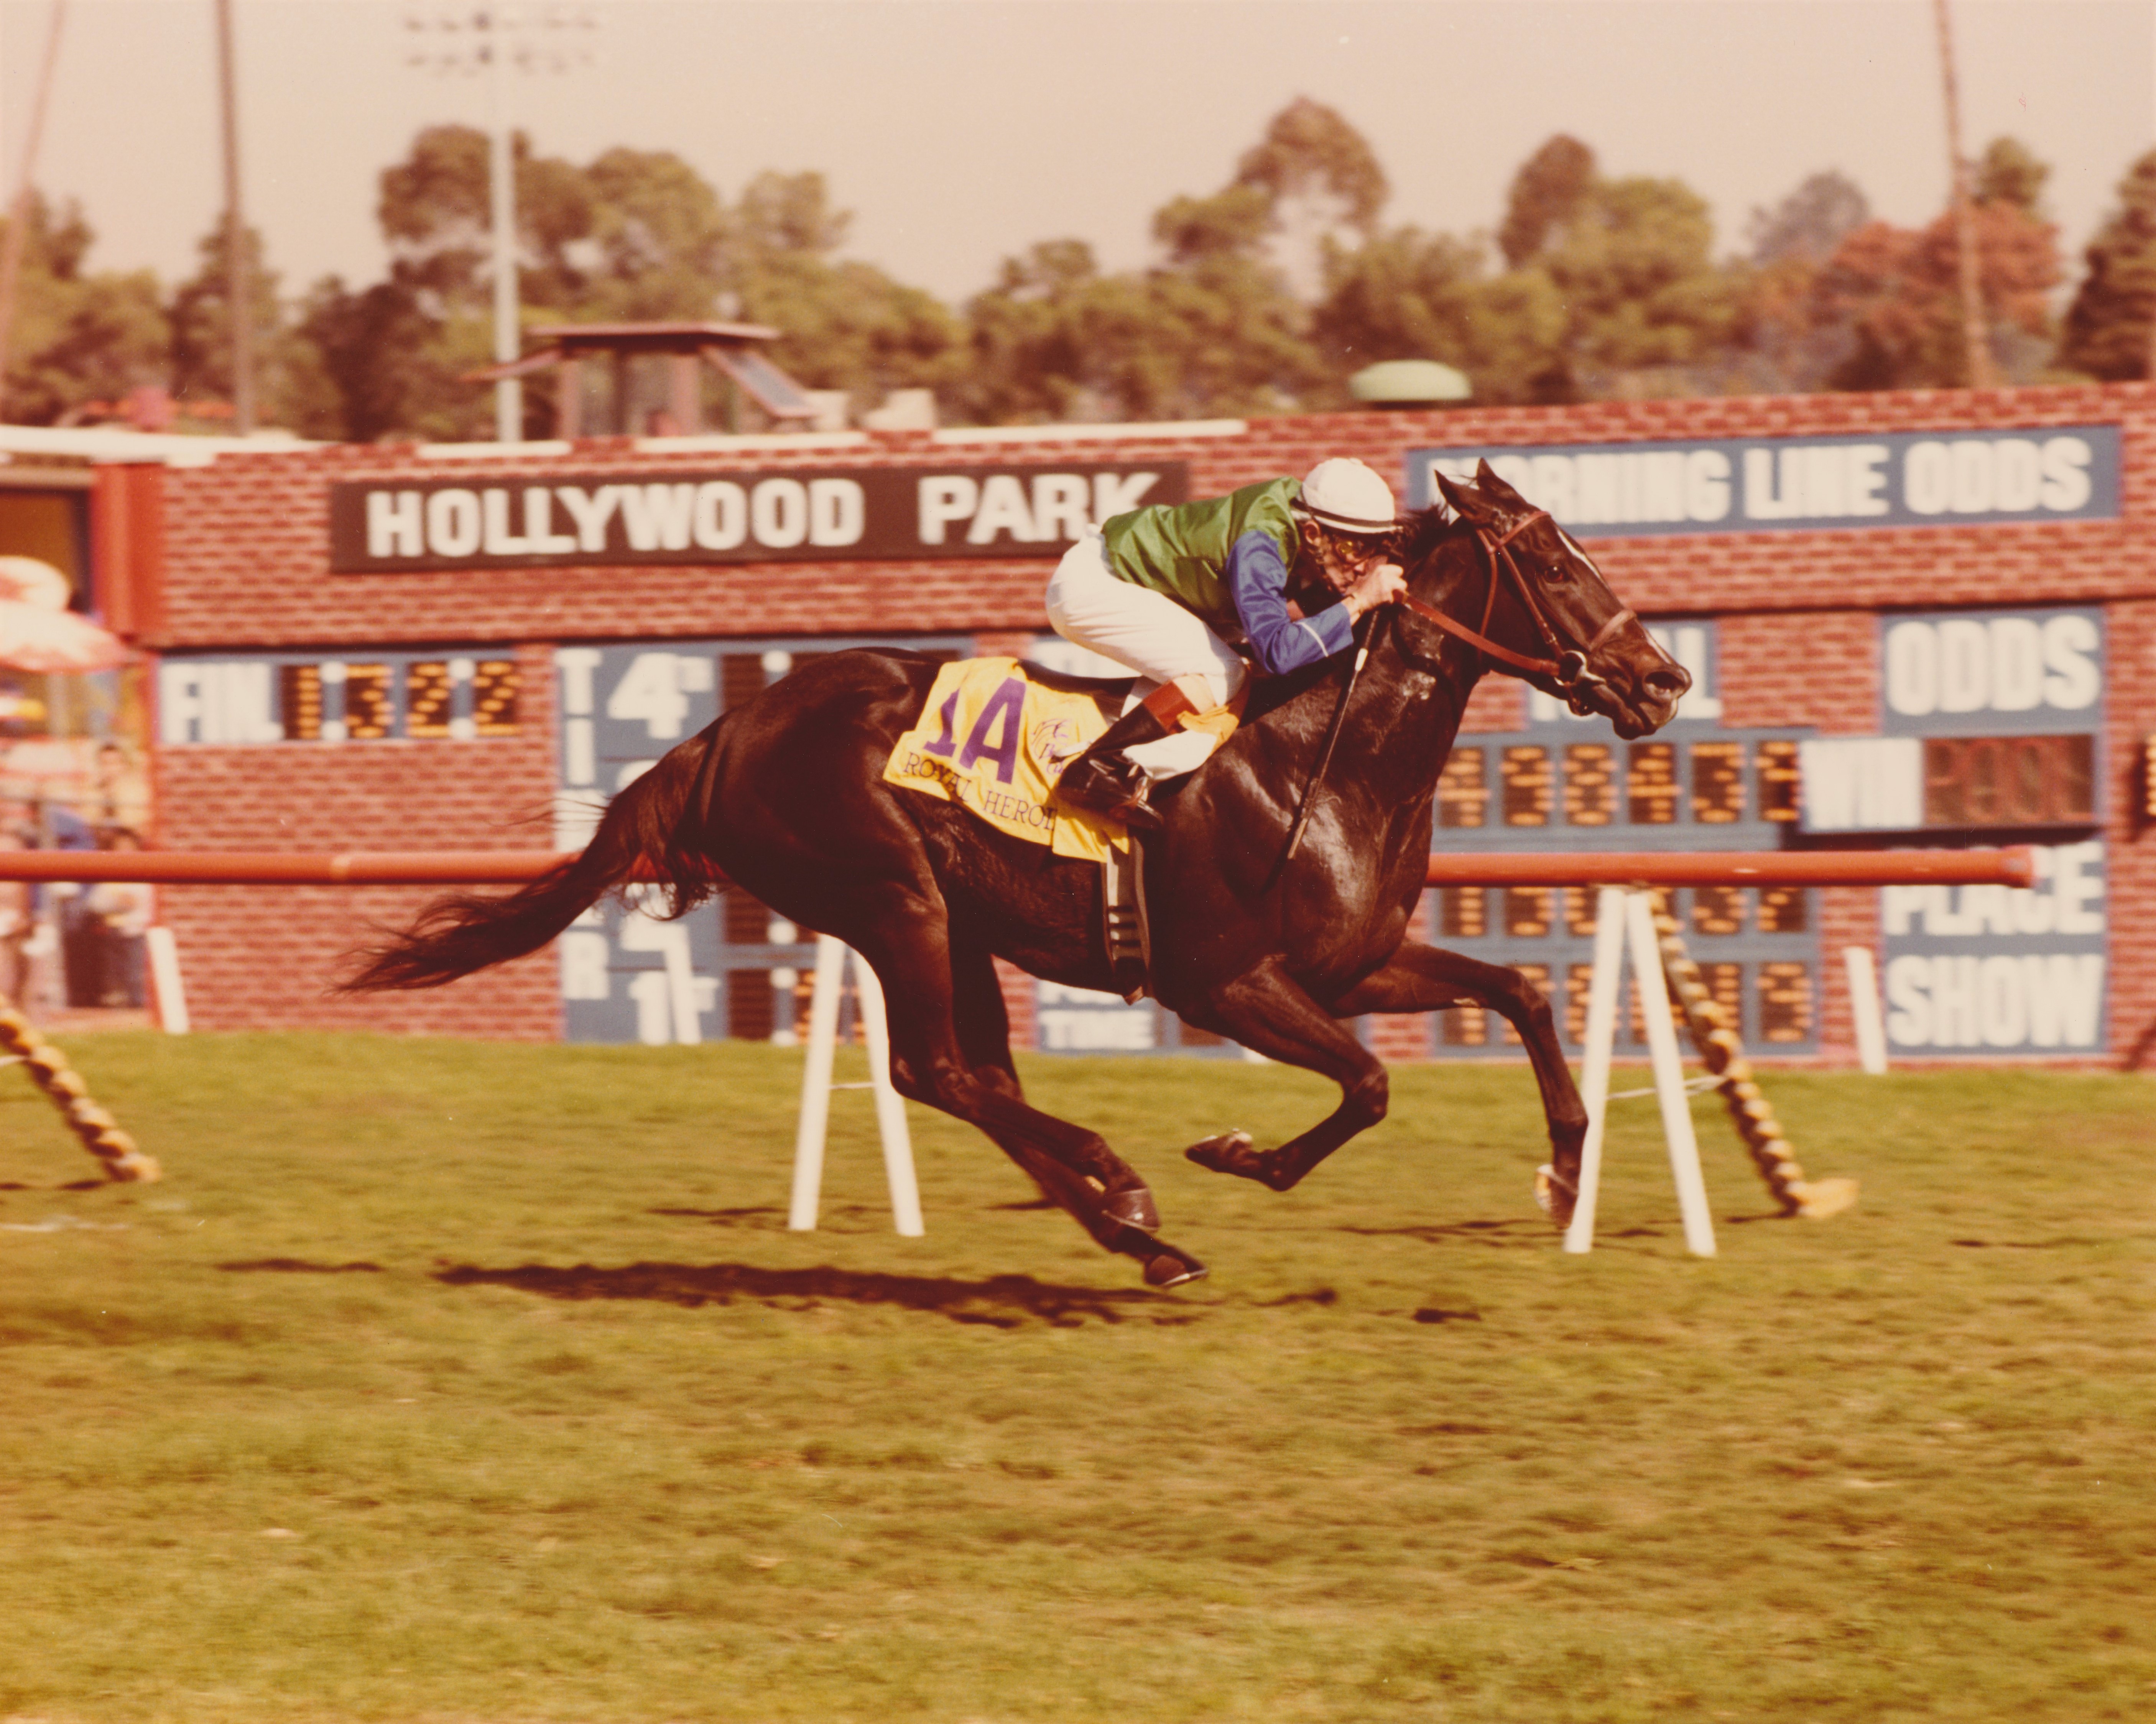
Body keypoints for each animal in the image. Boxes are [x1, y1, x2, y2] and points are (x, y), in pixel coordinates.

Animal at [345, 465, 1681, 1284]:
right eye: (1550, 561)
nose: (1660, 679)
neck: (1323, 747)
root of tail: (725, 730)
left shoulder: (1351, 963)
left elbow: (1516, 992)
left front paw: (1564, 1172)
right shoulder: (1223, 982)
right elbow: (1365, 1087)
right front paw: (1235, 1154)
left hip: (953, 921)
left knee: (972, 1074)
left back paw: (1130, 1227)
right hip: (894, 899)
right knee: (936, 1069)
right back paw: (1125, 1191)